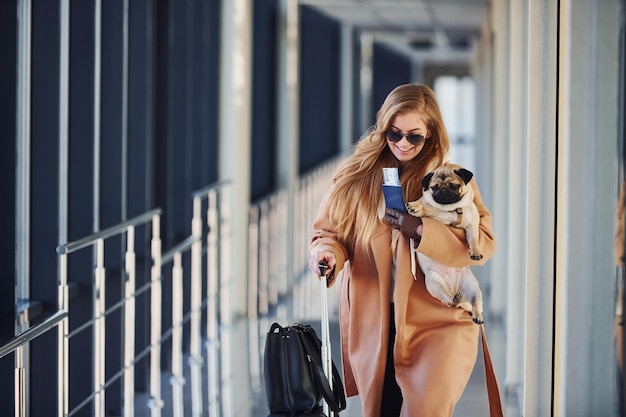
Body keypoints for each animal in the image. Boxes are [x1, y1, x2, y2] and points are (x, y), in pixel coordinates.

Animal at [404, 164, 482, 324]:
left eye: (454, 186)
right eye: (435, 187)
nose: (444, 191)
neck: (451, 209)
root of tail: (453, 289)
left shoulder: (472, 225)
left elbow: (474, 239)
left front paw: (475, 251)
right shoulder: (433, 209)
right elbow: (426, 206)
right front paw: (415, 207)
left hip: (473, 287)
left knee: (474, 302)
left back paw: (477, 315)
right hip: (433, 284)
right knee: (449, 301)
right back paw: (455, 298)